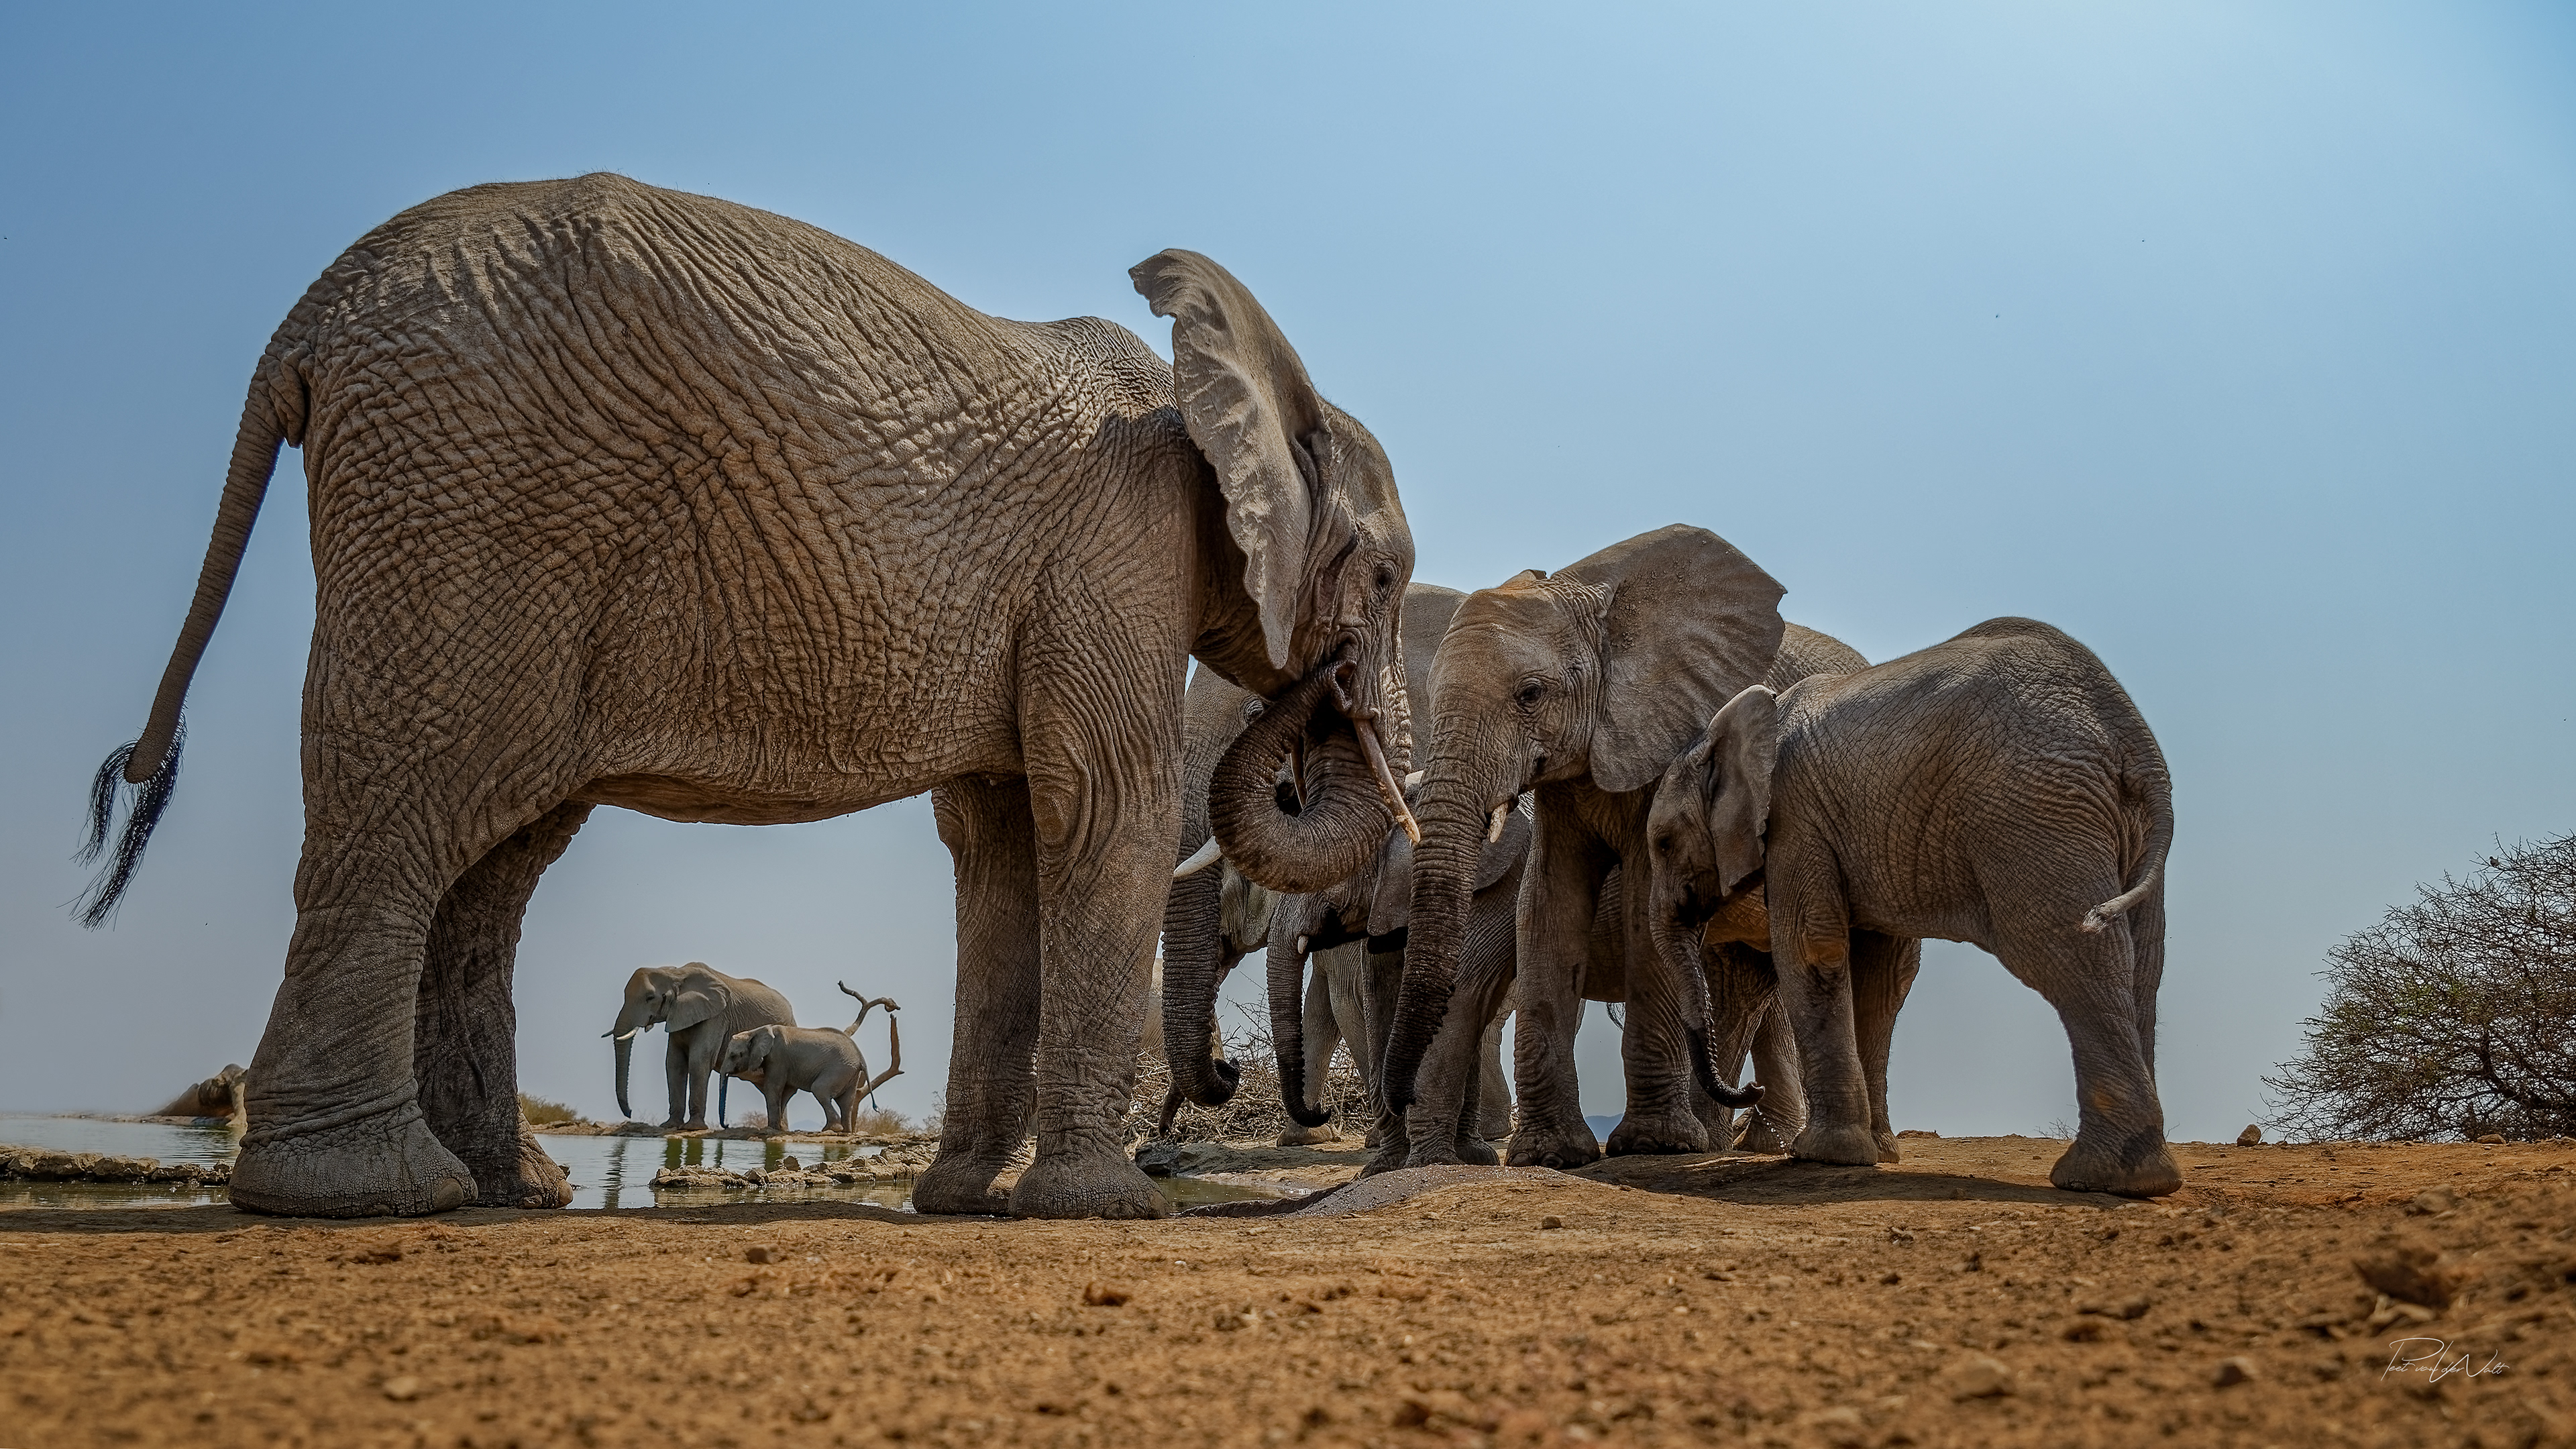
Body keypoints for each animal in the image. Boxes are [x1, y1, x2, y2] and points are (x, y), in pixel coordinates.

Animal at [607, 964, 797, 1131]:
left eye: (650, 998)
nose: (630, 1113)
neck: (675, 973)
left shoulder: (716, 1017)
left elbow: (699, 1060)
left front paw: (692, 1128)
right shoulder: (678, 1016)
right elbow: (674, 1063)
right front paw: (670, 1126)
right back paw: (780, 1129)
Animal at [717, 985, 902, 1136]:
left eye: (734, 1055)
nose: (727, 1125)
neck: (757, 1031)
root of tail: (861, 1058)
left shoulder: (778, 1057)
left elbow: (774, 1087)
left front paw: (769, 1129)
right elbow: (787, 1090)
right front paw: (777, 1128)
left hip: (840, 1069)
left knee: (820, 1089)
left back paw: (831, 1129)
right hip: (851, 1073)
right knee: (846, 1101)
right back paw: (845, 1131)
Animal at [1383, 524, 1814, 1171]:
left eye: (1530, 695)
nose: (1398, 1094)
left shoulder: (1665, 732)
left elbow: (1643, 900)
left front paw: (1655, 1145)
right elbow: (1546, 900)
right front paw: (1550, 1156)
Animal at [1645, 617, 2178, 1196]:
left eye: (1664, 844)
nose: (1750, 1092)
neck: (1733, 730)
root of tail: (2133, 740)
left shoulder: (1795, 819)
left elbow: (1811, 949)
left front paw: (1822, 1156)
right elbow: (1877, 973)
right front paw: (1874, 1154)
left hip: (2034, 810)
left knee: (2070, 955)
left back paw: (2100, 1179)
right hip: (2113, 823)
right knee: (2142, 967)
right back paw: (2139, 1180)